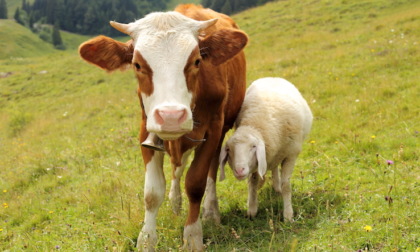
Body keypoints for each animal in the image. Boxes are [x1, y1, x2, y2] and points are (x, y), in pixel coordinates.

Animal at [78, 4, 248, 252]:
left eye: (197, 61)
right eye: (137, 65)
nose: (171, 116)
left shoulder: (214, 129)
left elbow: (196, 183)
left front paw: (192, 236)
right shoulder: (146, 128)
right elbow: (152, 192)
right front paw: (147, 239)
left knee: (211, 171)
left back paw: (211, 212)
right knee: (178, 168)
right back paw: (175, 202)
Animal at [220, 77, 312, 222]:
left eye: (253, 146)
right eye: (228, 149)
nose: (239, 170)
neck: (256, 123)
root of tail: (272, 77)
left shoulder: (291, 154)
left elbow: (286, 186)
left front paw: (288, 215)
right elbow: (253, 182)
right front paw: (252, 209)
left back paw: (278, 188)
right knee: (273, 167)